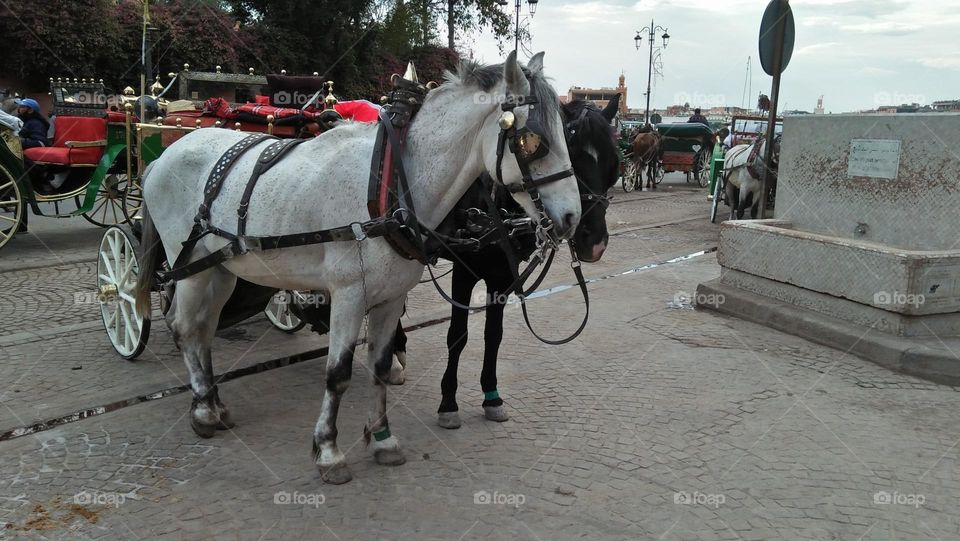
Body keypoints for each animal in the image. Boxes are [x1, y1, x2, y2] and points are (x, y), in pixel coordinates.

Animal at [131, 51, 580, 480]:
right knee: (185, 327)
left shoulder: (390, 298)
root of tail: (162, 158)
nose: (573, 217)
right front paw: (328, 450)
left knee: (203, 329)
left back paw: (212, 401)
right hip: (192, 267)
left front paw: (382, 438)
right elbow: (339, 373)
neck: (390, 181)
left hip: (221, 270)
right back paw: (203, 410)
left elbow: (379, 366)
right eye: (532, 141)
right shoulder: (349, 296)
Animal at [390, 95, 624, 428]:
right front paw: (448, 401)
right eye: (572, 161)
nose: (595, 244)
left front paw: (492, 395)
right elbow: (457, 336)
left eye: (613, 167)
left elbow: (493, 335)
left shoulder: (501, 278)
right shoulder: (464, 273)